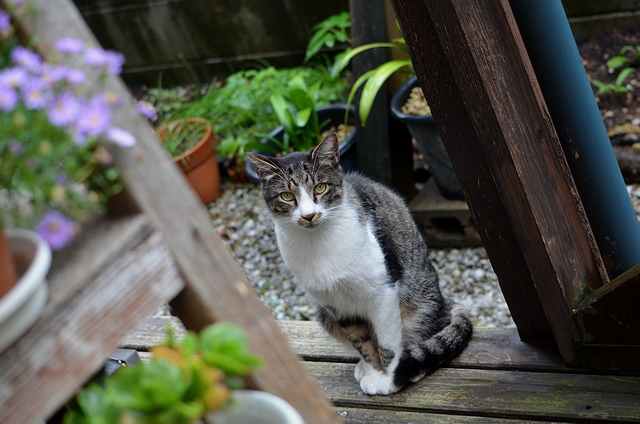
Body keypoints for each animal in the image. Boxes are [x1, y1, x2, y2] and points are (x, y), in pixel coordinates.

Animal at [248, 134, 472, 396]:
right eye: (286, 195)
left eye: (320, 188)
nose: (308, 215)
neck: (317, 242)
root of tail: (445, 301)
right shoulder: (337, 306)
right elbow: (361, 342)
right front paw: (373, 370)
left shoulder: (384, 291)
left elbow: (387, 342)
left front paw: (388, 377)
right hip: (324, 314)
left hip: (418, 302)